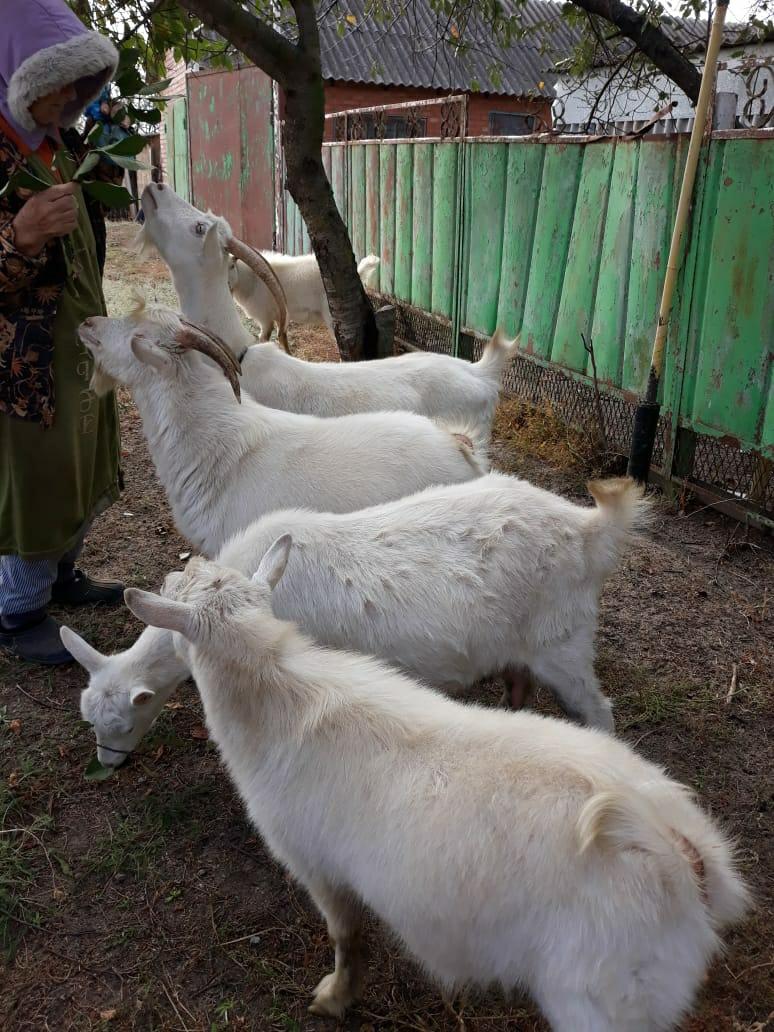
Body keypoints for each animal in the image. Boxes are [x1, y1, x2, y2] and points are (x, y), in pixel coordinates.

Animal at [69, 474, 648, 767]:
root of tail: (590, 528)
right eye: (89, 718)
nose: (108, 763)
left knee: (597, 709)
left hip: (564, 640)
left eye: (122, 721)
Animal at [124, 553, 755, 1032]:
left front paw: (334, 997)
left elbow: (346, 935)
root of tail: (680, 847)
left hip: (602, 997)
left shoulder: (317, 865)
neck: (279, 698)